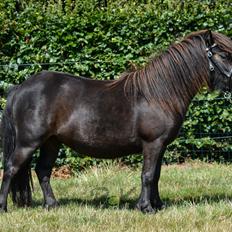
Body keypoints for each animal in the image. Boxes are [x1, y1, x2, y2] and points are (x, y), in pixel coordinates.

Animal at [0, 29, 232, 213]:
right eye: (223, 54)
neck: (160, 94)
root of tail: (19, 88)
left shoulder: (161, 146)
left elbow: (156, 175)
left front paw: (157, 205)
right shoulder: (152, 143)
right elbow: (148, 175)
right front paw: (145, 208)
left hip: (51, 142)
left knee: (43, 170)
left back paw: (52, 205)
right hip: (28, 142)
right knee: (11, 168)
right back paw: (3, 208)